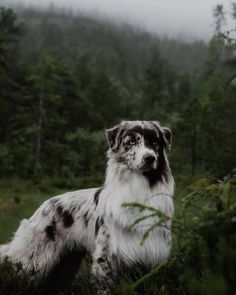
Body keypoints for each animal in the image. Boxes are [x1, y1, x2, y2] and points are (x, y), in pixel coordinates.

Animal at [0, 120, 173, 294]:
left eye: (155, 142)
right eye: (131, 141)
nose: (149, 158)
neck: (139, 189)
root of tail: (42, 207)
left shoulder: (152, 255)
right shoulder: (106, 255)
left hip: (65, 264)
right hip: (33, 261)